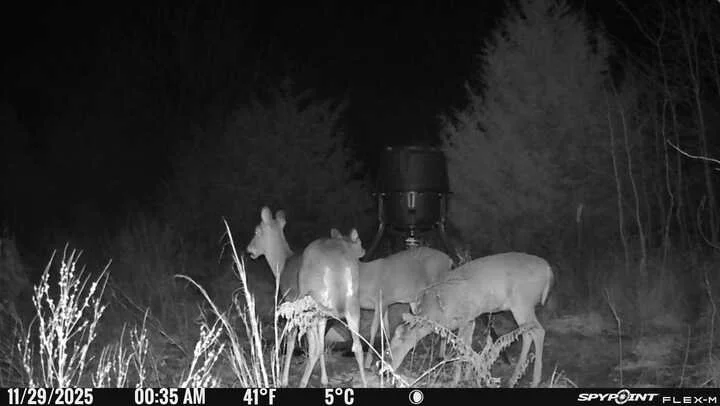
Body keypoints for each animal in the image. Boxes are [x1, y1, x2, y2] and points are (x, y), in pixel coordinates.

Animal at [296, 228, 367, 387]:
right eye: (360, 241)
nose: (364, 250)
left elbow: (319, 345)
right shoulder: (325, 316)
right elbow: (323, 343)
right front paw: (324, 379)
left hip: (313, 306)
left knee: (314, 347)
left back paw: (302, 382)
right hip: (353, 305)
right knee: (358, 346)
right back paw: (365, 383)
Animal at [385, 252, 553, 388]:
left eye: (398, 341)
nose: (387, 367)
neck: (438, 311)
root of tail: (548, 270)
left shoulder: (464, 317)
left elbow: (461, 347)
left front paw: (454, 381)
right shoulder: (471, 318)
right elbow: (468, 346)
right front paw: (468, 376)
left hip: (522, 302)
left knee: (539, 331)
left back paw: (535, 381)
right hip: (522, 307)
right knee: (527, 334)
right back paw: (514, 379)